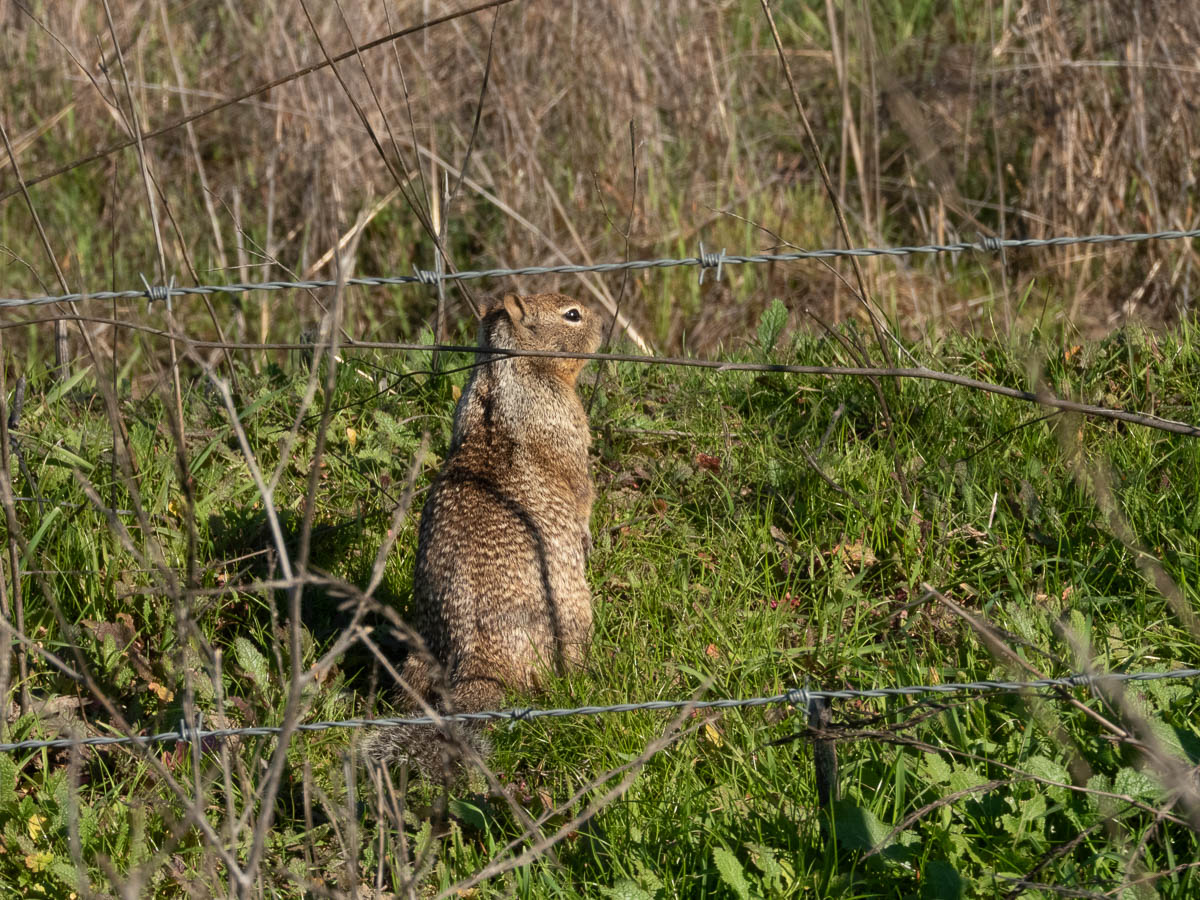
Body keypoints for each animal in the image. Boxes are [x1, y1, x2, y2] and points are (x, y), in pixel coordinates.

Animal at [365, 292, 603, 779]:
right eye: (572, 314)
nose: (605, 323)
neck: (505, 373)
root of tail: (477, 659)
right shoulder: (567, 427)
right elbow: (582, 490)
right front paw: (587, 535)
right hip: (573, 618)